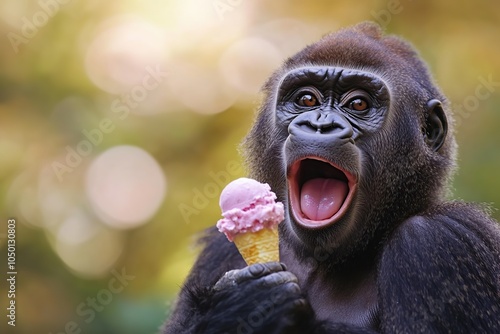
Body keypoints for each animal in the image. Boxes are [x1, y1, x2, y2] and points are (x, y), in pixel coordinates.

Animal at [163, 22, 500, 332]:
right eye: (307, 100)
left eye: (358, 104)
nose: (320, 125)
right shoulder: (217, 251)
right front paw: (235, 310)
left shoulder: (439, 239)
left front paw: (246, 306)